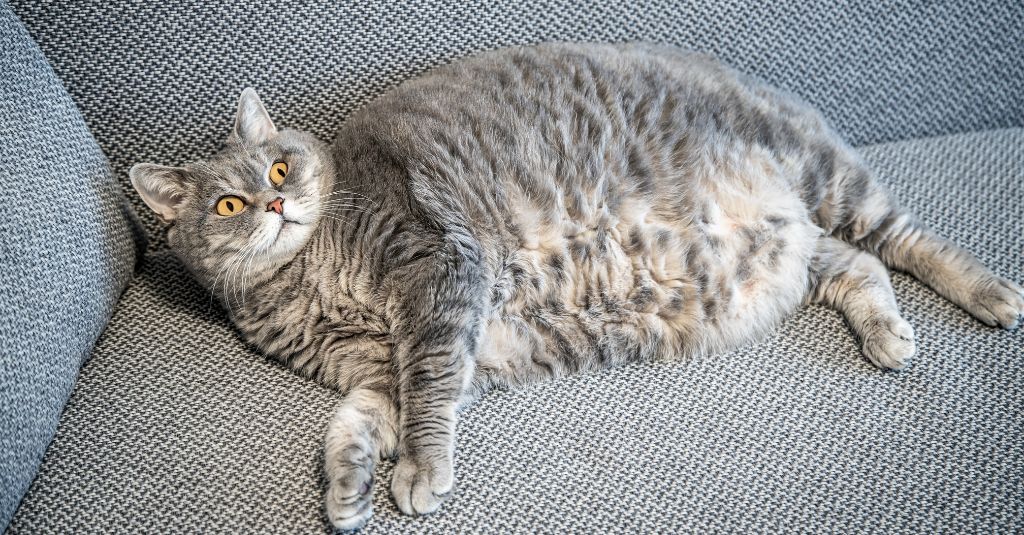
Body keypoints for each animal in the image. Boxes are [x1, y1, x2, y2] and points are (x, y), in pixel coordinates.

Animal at [128, 42, 1024, 528]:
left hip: (828, 178)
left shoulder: (438, 279)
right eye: (230, 203)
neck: (305, 287)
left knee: (906, 241)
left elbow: (426, 396)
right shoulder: (383, 366)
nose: (277, 203)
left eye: (280, 168)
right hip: (787, 253)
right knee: (857, 265)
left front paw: (418, 472)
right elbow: (354, 421)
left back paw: (991, 293)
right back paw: (886, 332)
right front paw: (348, 489)